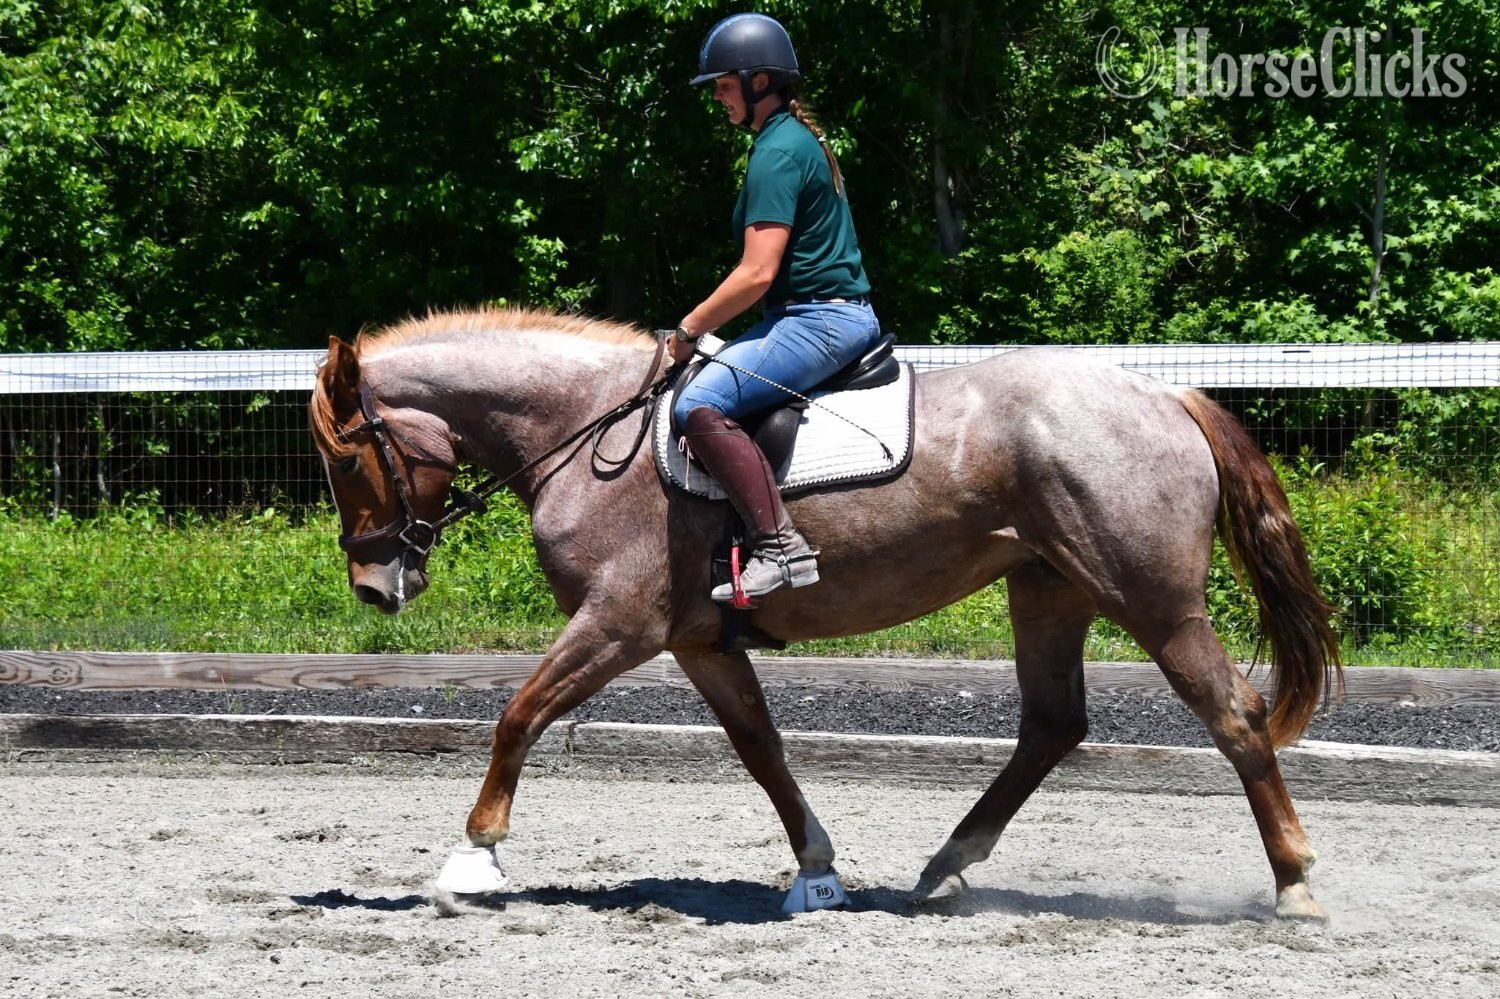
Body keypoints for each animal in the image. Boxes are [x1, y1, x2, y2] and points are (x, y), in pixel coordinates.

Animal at [310, 307, 1342, 920]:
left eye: (347, 456)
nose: (372, 584)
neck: (591, 424)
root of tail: (1163, 393)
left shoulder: (618, 623)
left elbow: (518, 715)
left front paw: (472, 860)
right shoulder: (697, 639)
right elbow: (761, 748)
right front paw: (815, 870)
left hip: (1153, 602)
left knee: (1234, 716)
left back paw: (1295, 885)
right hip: (1049, 588)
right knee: (1052, 724)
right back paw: (947, 866)